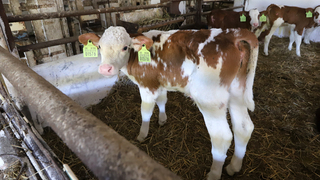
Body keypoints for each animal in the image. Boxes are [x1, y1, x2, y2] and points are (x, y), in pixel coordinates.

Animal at [79, 26, 258, 180]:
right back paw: (234, 167)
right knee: (243, 128)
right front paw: (162, 119)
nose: (105, 69)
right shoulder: (160, 83)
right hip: (236, 92)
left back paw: (214, 174)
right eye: (100, 47)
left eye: (124, 47)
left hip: (210, 100)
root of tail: (232, 34)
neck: (137, 54)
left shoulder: (147, 85)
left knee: (222, 137)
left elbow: (145, 111)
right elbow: (162, 100)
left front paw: (142, 135)